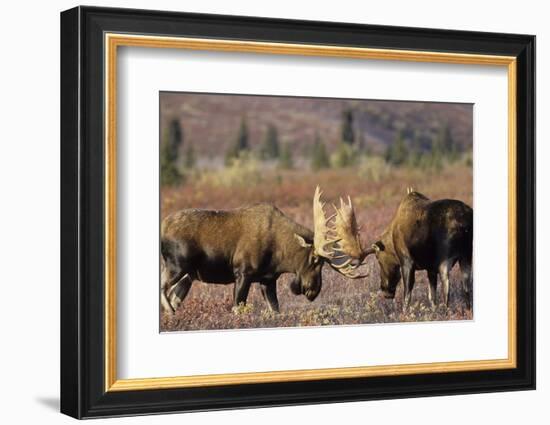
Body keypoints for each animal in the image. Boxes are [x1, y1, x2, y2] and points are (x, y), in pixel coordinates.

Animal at [160, 187, 366, 314]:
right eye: (315, 260)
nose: (313, 291)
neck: (280, 255)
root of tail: (162, 228)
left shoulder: (267, 279)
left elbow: (275, 310)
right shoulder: (243, 272)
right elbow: (238, 308)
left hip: (188, 275)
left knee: (173, 296)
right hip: (177, 265)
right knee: (163, 288)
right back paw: (171, 312)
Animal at [330, 187, 476, 310]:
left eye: (378, 259)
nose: (385, 290)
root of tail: (464, 224)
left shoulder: (406, 260)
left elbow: (407, 295)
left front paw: (404, 313)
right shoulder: (430, 267)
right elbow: (432, 296)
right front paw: (434, 311)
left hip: (445, 258)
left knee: (447, 286)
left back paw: (446, 311)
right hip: (467, 255)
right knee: (466, 286)